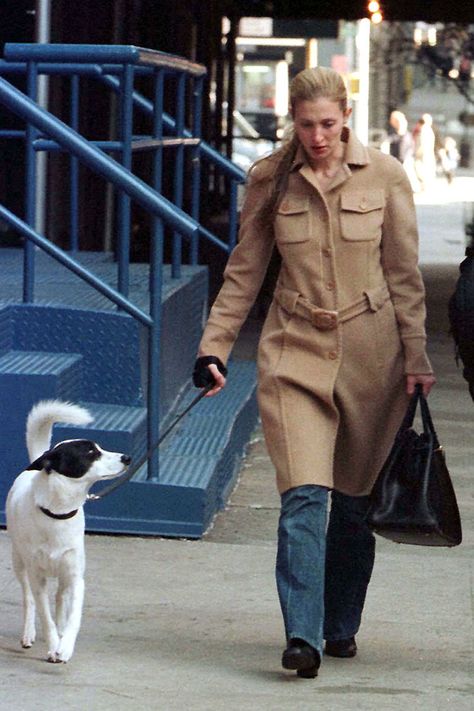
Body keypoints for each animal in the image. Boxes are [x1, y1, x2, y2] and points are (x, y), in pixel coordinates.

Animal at [6, 400, 131, 660]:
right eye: (90, 453)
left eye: (99, 448)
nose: (127, 457)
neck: (58, 513)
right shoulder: (38, 578)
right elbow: (45, 616)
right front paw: (54, 644)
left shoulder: (75, 577)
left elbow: (73, 617)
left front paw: (65, 644)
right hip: (19, 562)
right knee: (29, 599)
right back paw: (29, 633)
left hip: (63, 574)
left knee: (60, 598)